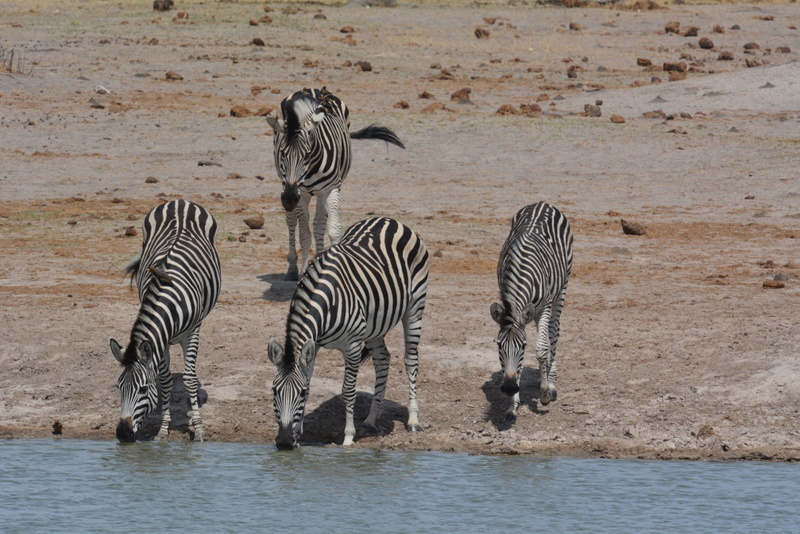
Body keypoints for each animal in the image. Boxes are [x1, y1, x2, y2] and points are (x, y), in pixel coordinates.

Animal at [110, 201, 222, 444]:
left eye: (143, 390)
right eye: (119, 387)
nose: (123, 434)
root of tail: (180, 202)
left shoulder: (192, 333)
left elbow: (189, 379)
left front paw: (199, 430)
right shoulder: (161, 340)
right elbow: (165, 380)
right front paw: (162, 430)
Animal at [268, 87, 406, 280]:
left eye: (306, 154)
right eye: (282, 153)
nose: (288, 199)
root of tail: (313, 89)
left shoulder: (331, 188)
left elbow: (333, 230)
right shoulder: (301, 193)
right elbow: (304, 235)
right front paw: (303, 271)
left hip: (320, 191)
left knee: (319, 222)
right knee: (291, 222)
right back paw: (292, 268)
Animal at [268, 216, 432, 450]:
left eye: (299, 393)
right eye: (274, 391)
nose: (283, 441)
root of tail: (388, 219)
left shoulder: (352, 346)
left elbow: (348, 391)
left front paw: (347, 437)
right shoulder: (314, 345)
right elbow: (309, 379)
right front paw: (297, 435)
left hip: (415, 307)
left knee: (411, 360)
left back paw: (413, 421)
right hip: (375, 324)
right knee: (383, 359)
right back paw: (372, 419)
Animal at [490, 201, 572, 422]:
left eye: (523, 346)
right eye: (499, 345)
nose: (510, 388)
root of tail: (542, 203)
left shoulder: (544, 307)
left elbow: (542, 349)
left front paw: (544, 393)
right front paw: (512, 406)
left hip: (561, 290)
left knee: (553, 332)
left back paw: (551, 382)